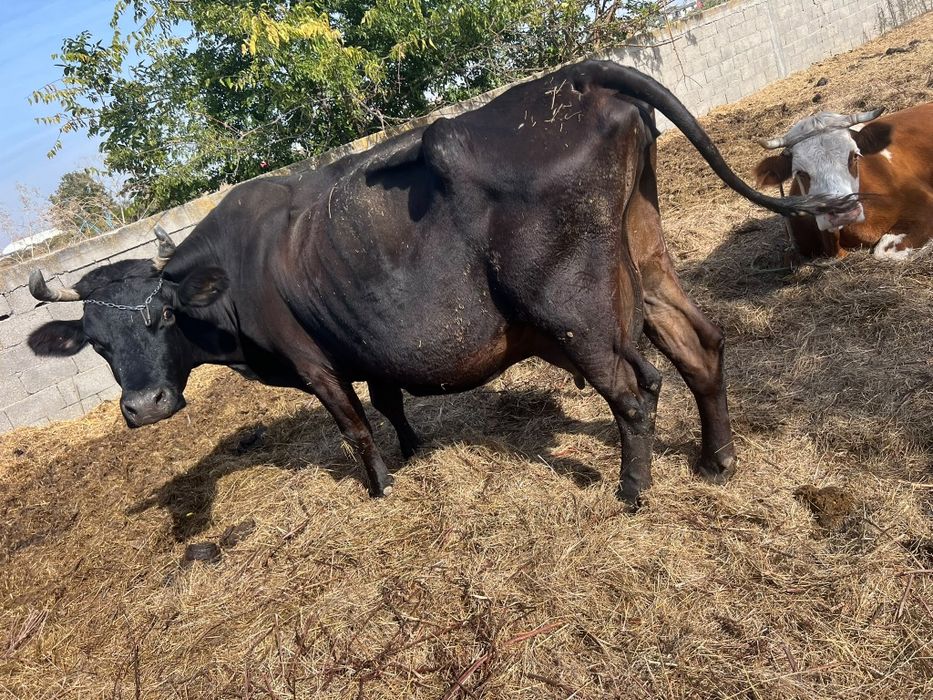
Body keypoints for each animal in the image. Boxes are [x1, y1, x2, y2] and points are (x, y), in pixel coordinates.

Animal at [26, 60, 857, 508]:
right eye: (96, 342)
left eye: (161, 317)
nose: (144, 407)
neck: (235, 272)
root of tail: (568, 79)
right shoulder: (362, 341)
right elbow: (390, 396)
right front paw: (414, 447)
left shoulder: (312, 361)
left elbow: (353, 423)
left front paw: (380, 485)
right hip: (644, 261)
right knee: (700, 346)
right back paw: (716, 460)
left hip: (572, 308)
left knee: (635, 387)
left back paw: (632, 487)